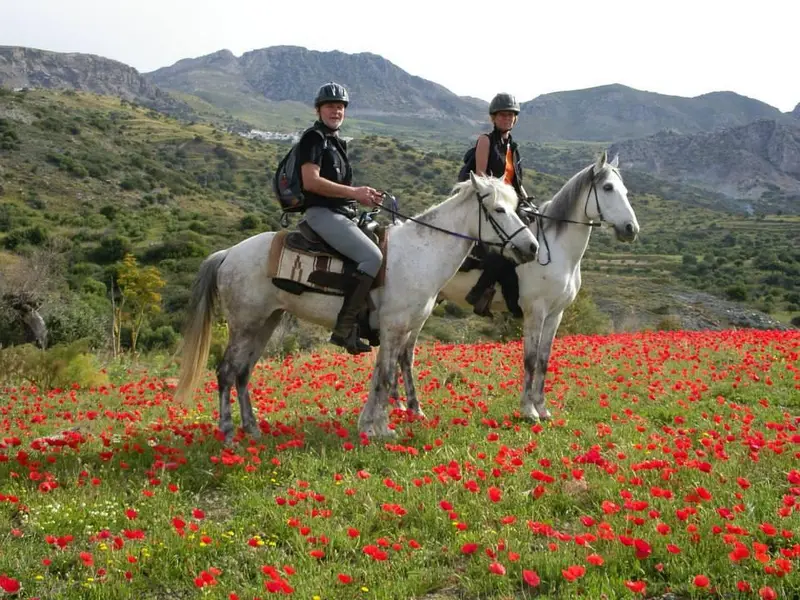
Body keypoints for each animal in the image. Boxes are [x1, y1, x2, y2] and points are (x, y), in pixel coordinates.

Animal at [174, 172, 540, 441]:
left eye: (517, 207)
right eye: (498, 210)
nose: (531, 247)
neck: (420, 253)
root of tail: (228, 254)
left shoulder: (401, 330)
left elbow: (382, 375)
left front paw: (370, 424)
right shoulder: (394, 327)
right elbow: (388, 376)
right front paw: (382, 428)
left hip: (266, 323)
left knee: (243, 373)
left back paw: (252, 429)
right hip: (245, 324)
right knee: (226, 372)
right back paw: (228, 433)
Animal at [392, 151, 640, 422]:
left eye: (625, 190)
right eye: (607, 188)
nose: (631, 229)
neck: (557, 249)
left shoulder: (555, 314)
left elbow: (543, 360)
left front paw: (542, 408)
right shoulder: (535, 311)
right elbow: (530, 359)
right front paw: (529, 410)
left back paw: (400, 403)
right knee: (404, 352)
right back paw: (410, 407)